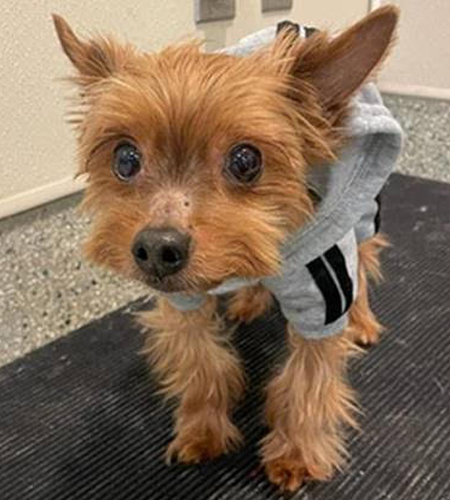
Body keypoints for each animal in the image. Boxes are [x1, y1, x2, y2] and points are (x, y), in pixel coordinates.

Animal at [53, 6, 401, 491]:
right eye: (125, 159)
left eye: (245, 161)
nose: (157, 249)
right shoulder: (181, 300)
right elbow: (201, 363)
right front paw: (202, 429)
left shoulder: (322, 296)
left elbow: (307, 380)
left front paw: (296, 451)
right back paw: (250, 300)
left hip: (365, 210)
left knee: (367, 258)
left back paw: (363, 321)